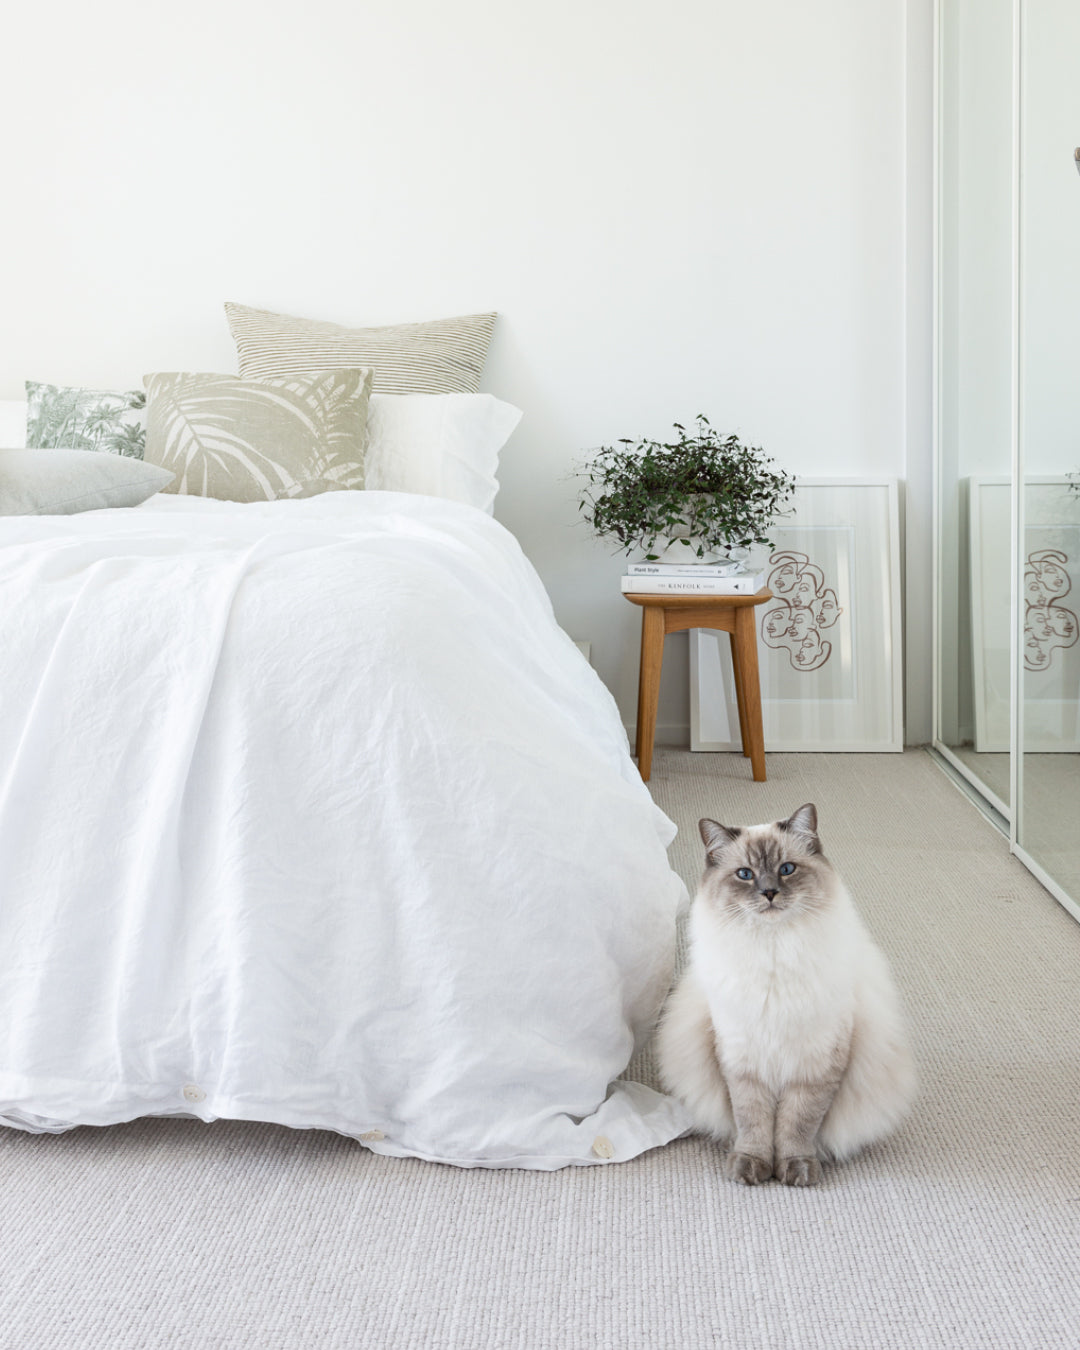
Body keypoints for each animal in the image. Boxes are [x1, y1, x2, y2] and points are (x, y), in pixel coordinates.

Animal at [657, 803, 915, 1186]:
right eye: (745, 874)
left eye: (786, 870)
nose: (769, 893)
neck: (774, 950)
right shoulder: (743, 1063)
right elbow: (753, 1123)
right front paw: (752, 1167)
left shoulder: (814, 1065)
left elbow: (797, 1125)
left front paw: (795, 1169)